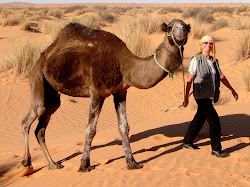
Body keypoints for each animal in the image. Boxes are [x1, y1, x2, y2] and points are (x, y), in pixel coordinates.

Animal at [21, 18, 189, 173]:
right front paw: (84, 165)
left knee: (41, 128)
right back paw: (27, 162)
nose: (181, 33)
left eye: (186, 27)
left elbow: (124, 127)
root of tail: (41, 58)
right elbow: (90, 129)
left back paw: (53, 164)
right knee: (30, 118)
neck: (124, 64)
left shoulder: (120, 91)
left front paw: (132, 162)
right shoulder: (96, 92)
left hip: (52, 94)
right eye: (169, 27)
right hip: (37, 78)